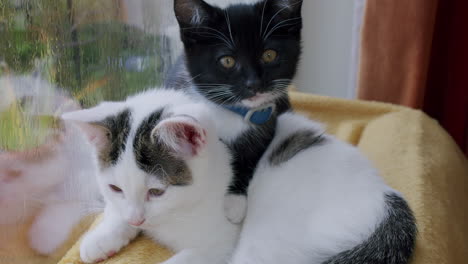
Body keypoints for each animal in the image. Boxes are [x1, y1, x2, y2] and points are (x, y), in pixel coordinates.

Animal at [64, 89, 239, 264]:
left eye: (156, 192)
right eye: (115, 188)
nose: (136, 220)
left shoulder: (220, 241)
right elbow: (117, 210)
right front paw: (101, 238)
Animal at [171, 0, 304, 220]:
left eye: (269, 55)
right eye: (227, 61)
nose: (254, 83)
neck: (233, 111)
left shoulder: (268, 122)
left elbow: (251, 156)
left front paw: (235, 200)